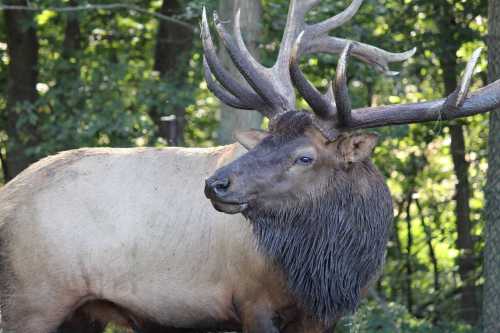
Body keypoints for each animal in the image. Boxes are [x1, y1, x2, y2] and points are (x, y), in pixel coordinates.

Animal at [0, 0, 498, 332]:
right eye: (269, 138)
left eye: (305, 156)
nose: (216, 185)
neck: (330, 270)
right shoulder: (250, 301)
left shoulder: (323, 316)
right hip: (30, 300)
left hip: (79, 313)